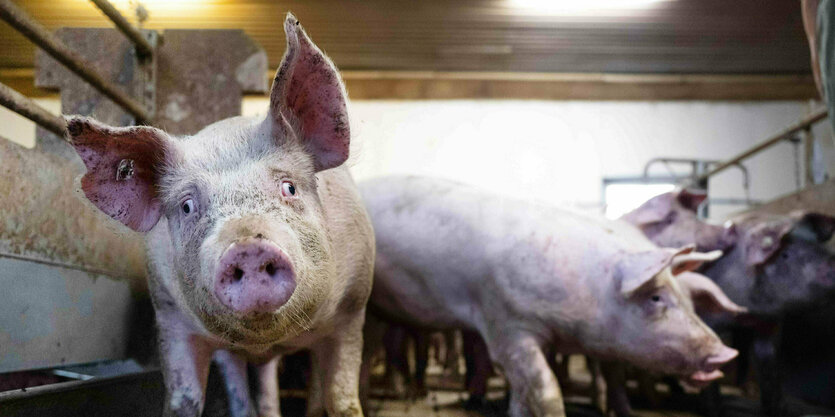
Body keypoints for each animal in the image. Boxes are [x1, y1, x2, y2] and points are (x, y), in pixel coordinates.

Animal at [67, 13, 374, 416]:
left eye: (289, 187)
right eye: (187, 206)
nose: (248, 246)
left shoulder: (352, 310)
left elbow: (342, 399)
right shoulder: (170, 316)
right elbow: (183, 399)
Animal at [360, 175, 740, 416]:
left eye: (689, 303)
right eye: (656, 298)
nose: (727, 353)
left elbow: (525, 393)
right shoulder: (505, 322)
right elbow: (545, 389)